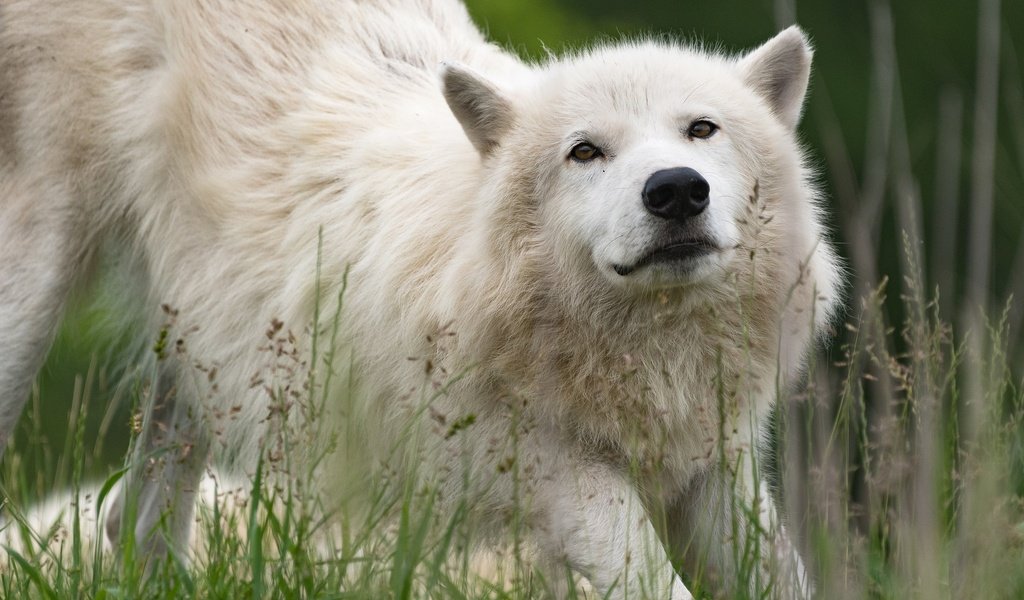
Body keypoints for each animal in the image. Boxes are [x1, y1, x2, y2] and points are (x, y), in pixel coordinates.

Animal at [0, 0, 843, 593]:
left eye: (702, 130)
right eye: (585, 152)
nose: (675, 190)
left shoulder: (714, 469)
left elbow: (786, 578)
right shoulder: (557, 475)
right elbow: (656, 582)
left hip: (203, 353)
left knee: (130, 523)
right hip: (35, 297)